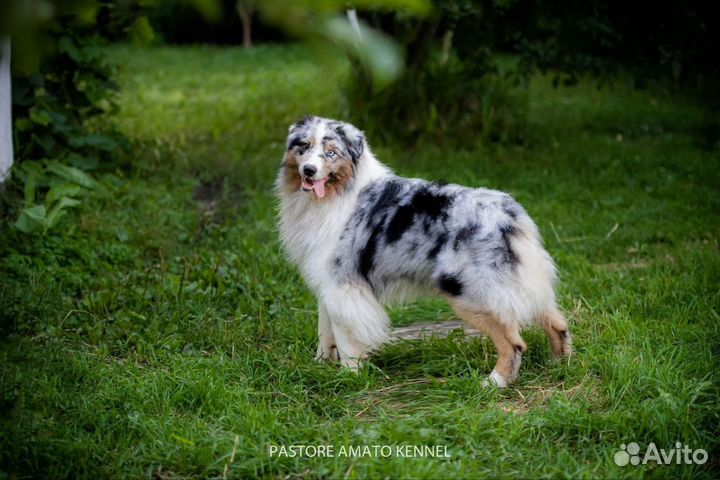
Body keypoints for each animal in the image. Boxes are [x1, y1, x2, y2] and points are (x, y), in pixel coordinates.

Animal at [272, 115, 572, 386]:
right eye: (303, 147)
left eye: (331, 152)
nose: (309, 170)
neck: (339, 192)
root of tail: (508, 215)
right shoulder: (326, 282)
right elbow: (325, 331)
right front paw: (320, 367)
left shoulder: (345, 284)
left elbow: (346, 338)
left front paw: (349, 378)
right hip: (526, 279)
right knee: (558, 324)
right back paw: (559, 367)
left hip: (473, 292)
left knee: (514, 342)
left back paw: (494, 382)